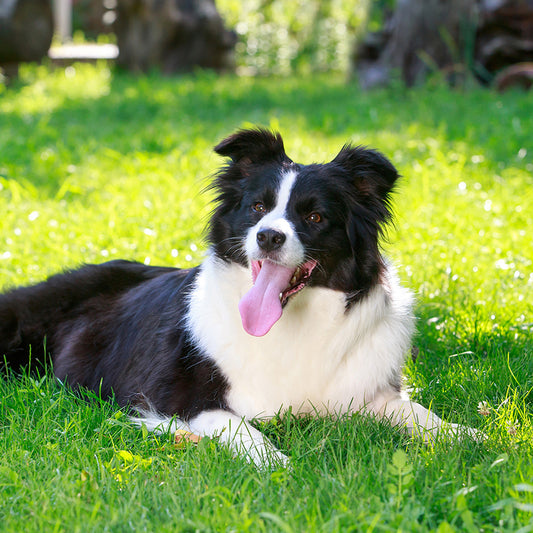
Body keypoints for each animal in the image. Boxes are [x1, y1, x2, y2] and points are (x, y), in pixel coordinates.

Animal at [1, 129, 474, 466]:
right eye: (257, 208)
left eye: (315, 216)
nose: (268, 236)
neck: (293, 325)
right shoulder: (180, 402)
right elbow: (246, 432)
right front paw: (281, 465)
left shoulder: (369, 394)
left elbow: (418, 413)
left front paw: (468, 434)